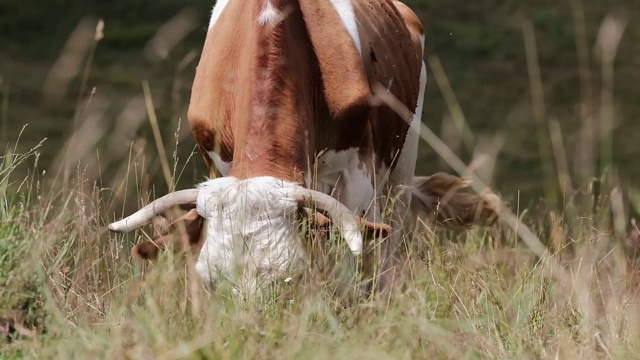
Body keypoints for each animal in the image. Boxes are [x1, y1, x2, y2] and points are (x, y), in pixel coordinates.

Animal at [109, 0, 500, 296]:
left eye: (290, 277)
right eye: (211, 281)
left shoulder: (357, 171)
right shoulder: (217, 161)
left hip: (401, 164)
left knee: (387, 245)